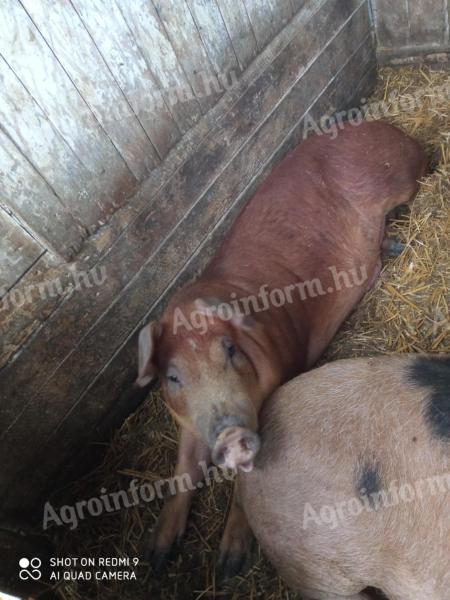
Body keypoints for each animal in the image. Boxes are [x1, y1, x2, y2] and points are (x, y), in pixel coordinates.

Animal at [136, 119, 426, 576]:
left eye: (229, 350)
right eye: (173, 376)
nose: (232, 432)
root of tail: (393, 130)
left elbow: (253, 483)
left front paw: (230, 565)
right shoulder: (188, 424)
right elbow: (183, 471)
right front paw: (156, 557)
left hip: (400, 181)